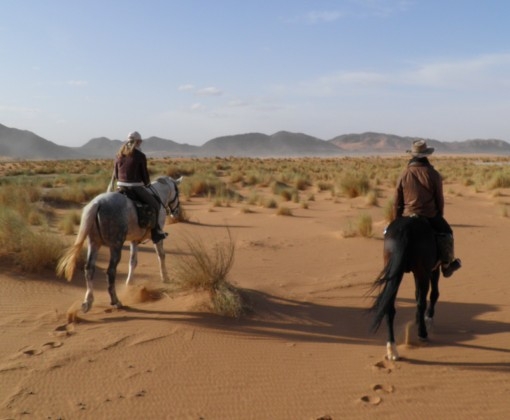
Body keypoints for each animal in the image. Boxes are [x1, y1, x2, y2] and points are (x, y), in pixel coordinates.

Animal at [56, 176, 181, 314]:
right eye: (178, 192)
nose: (176, 213)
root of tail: (97, 204)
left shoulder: (134, 240)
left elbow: (133, 262)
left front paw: (129, 284)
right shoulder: (157, 237)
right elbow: (161, 255)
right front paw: (165, 277)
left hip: (94, 243)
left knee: (89, 269)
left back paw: (88, 302)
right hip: (116, 245)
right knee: (111, 272)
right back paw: (116, 302)